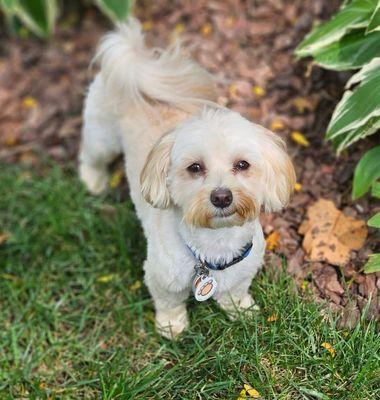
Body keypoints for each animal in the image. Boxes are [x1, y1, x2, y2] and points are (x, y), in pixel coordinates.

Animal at [78, 18, 296, 338]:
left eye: (242, 164)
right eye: (195, 167)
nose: (222, 196)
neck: (215, 247)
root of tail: (134, 63)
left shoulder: (243, 271)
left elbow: (236, 292)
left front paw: (241, 311)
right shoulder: (161, 276)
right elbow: (169, 302)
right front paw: (172, 326)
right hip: (101, 135)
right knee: (91, 155)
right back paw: (93, 180)